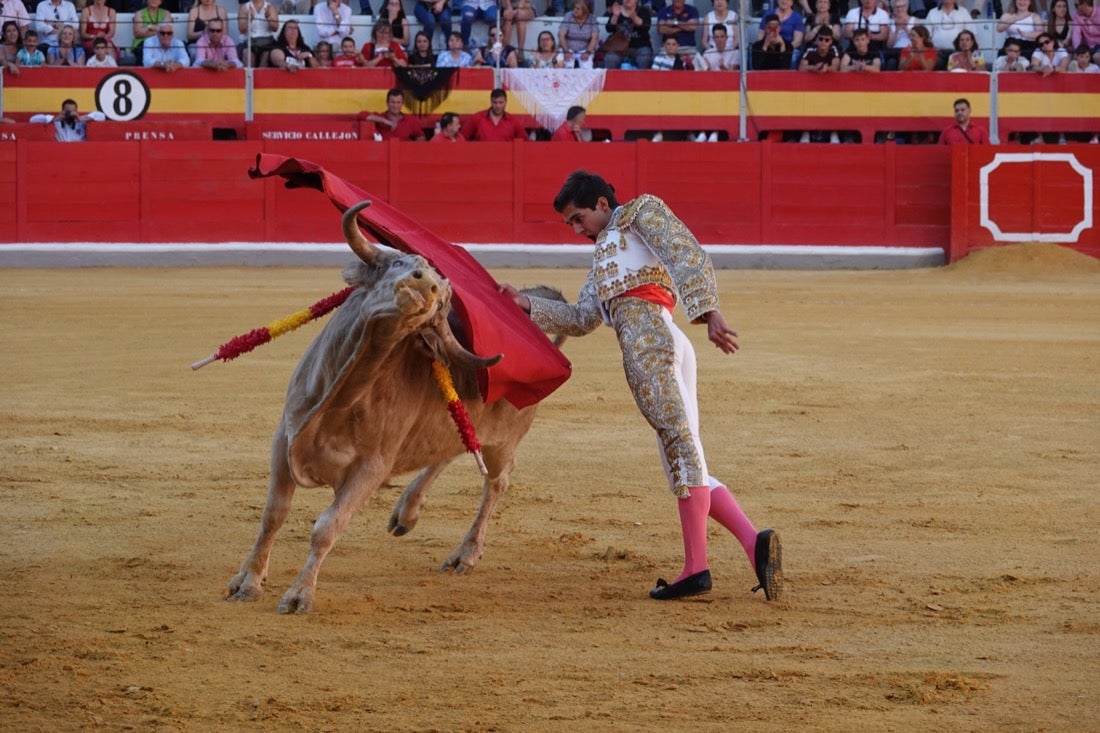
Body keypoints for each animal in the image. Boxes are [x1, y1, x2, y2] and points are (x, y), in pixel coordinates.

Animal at [226, 201, 545, 611]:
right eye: (400, 262)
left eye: (443, 301)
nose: (425, 284)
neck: (343, 398)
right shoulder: (284, 439)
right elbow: (273, 515)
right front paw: (248, 581)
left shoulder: (371, 468)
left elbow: (326, 528)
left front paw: (299, 595)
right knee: (448, 452)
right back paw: (406, 513)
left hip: (501, 442)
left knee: (496, 480)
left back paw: (465, 555)